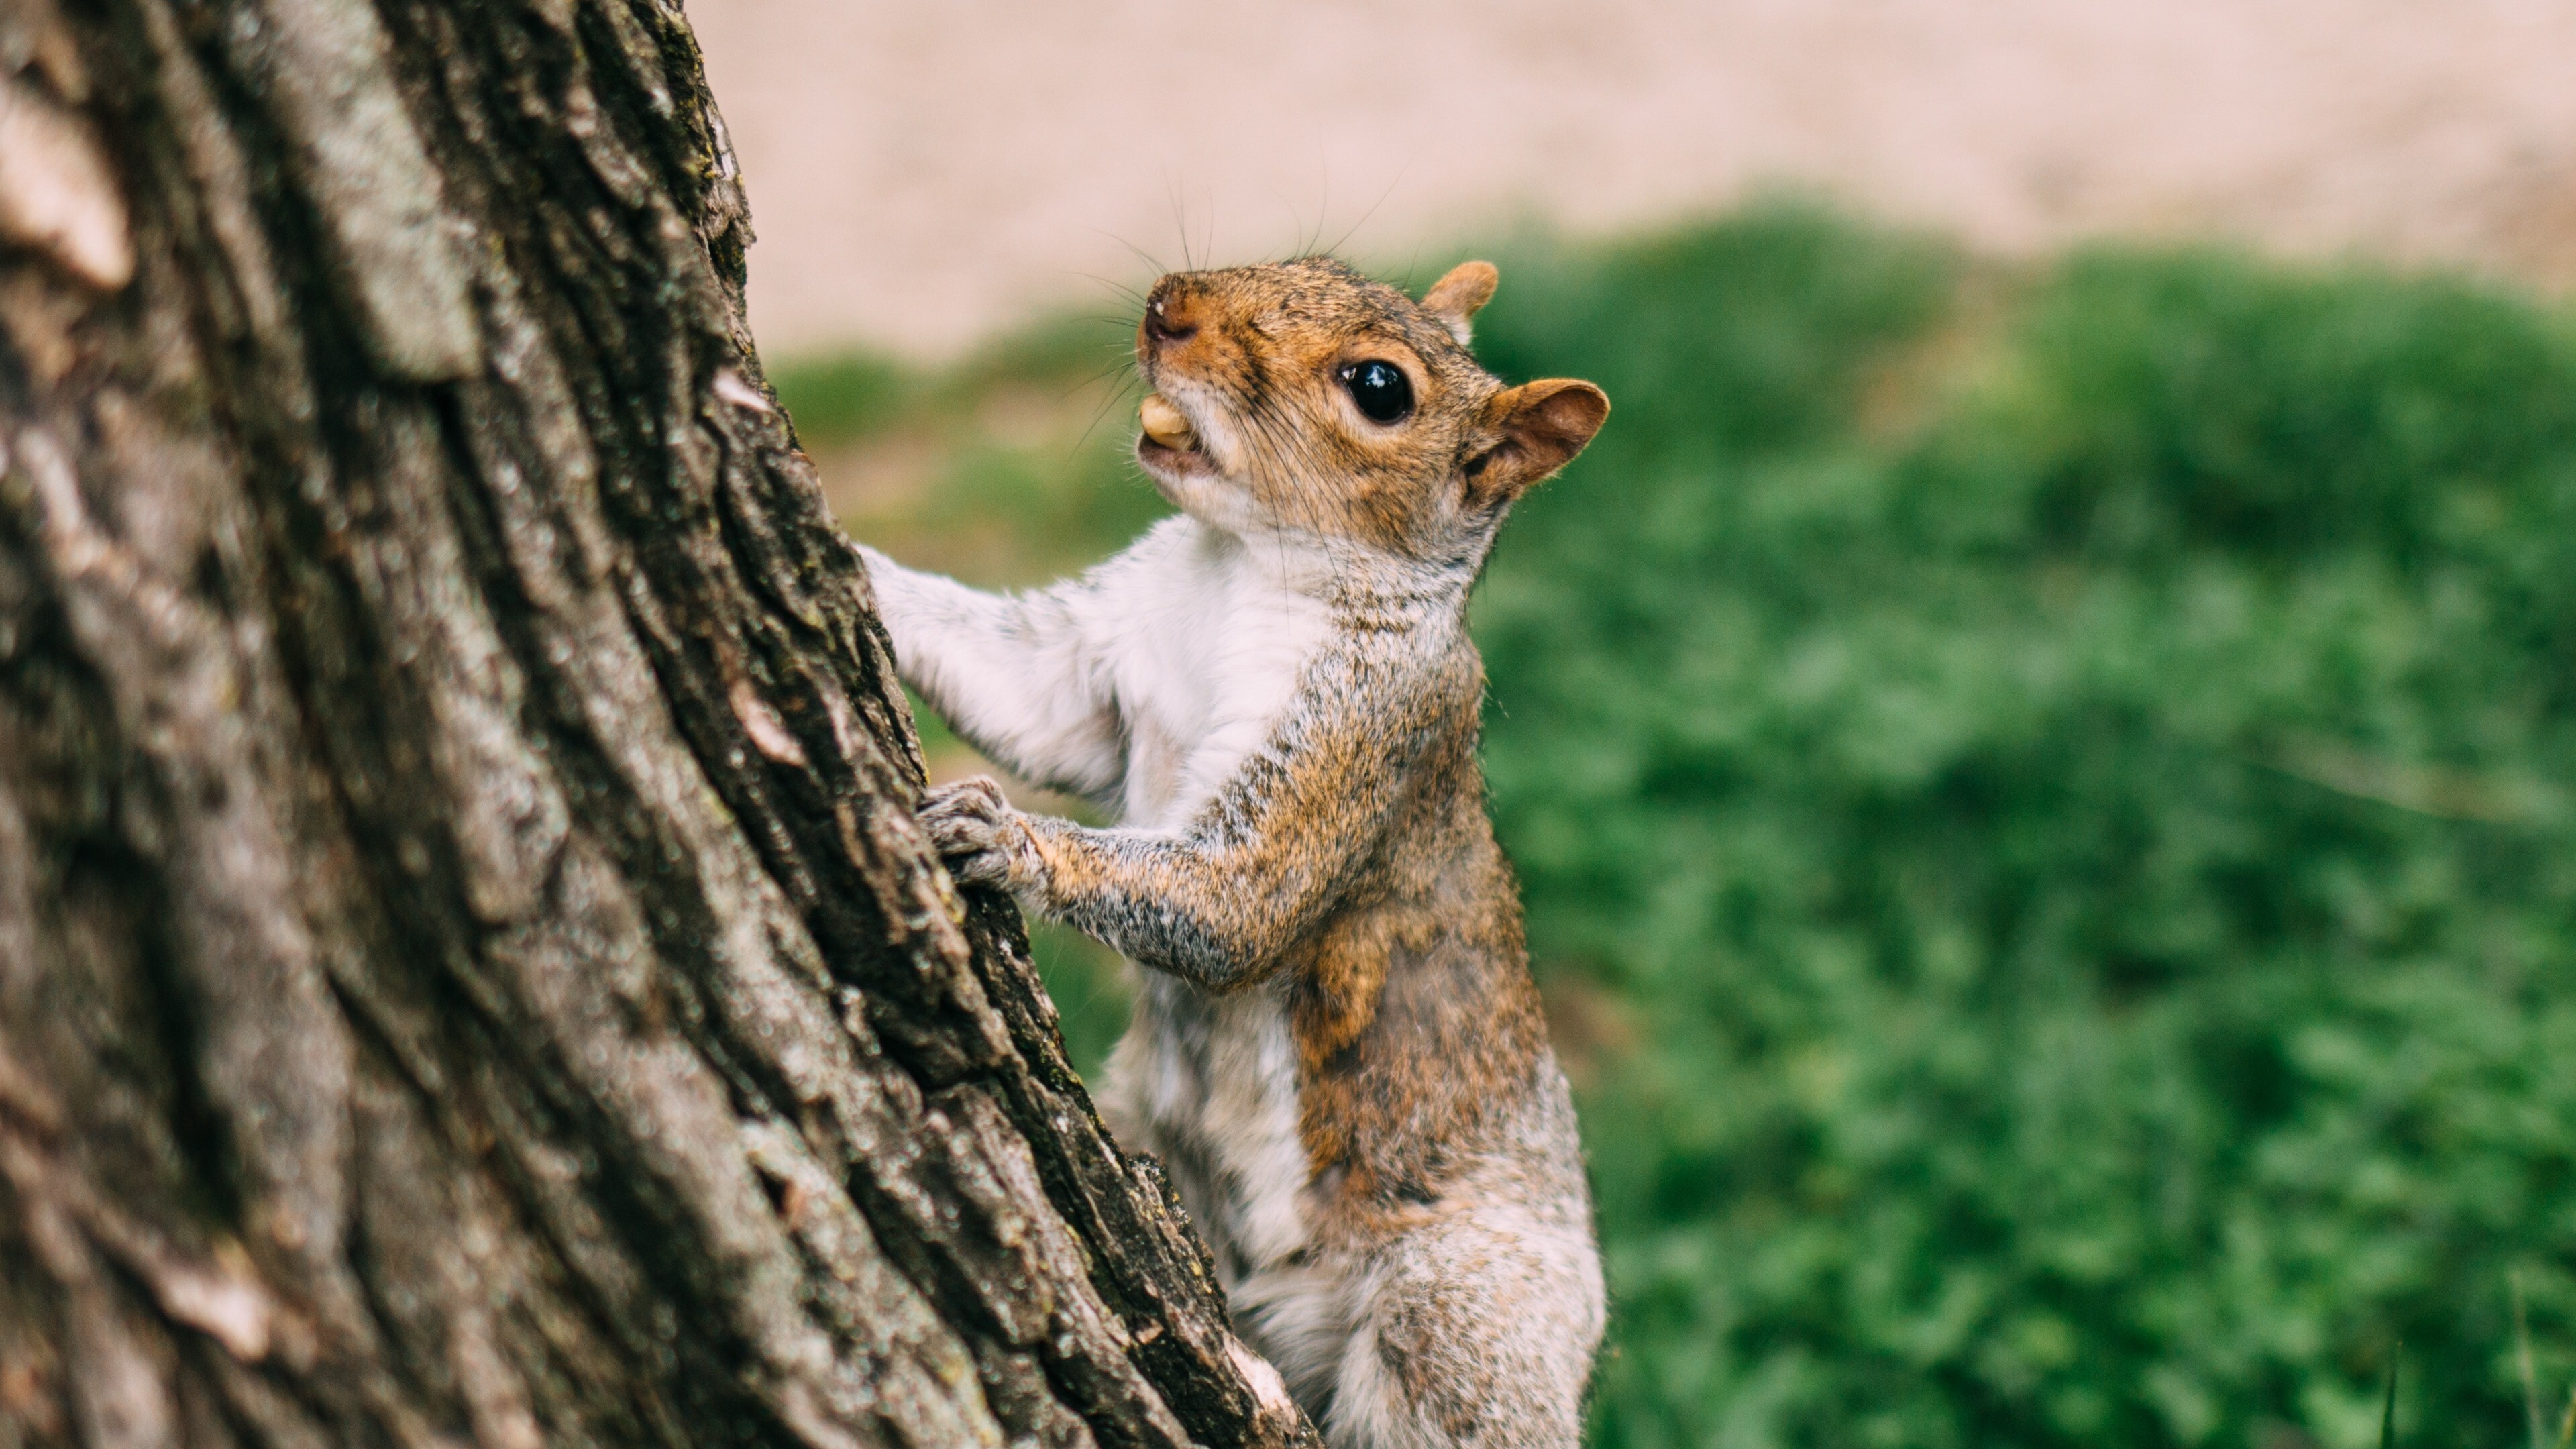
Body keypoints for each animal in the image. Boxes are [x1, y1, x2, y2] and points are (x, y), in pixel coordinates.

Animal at [857, 255, 1611, 1449]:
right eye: (1319, 262)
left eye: (1380, 388)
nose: (1170, 306)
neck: (1241, 567)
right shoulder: (1093, 660)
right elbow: (1021, 693)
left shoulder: (1362, 738)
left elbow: (1234, 901)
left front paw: (1011, 840)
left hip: (1465, 1312)